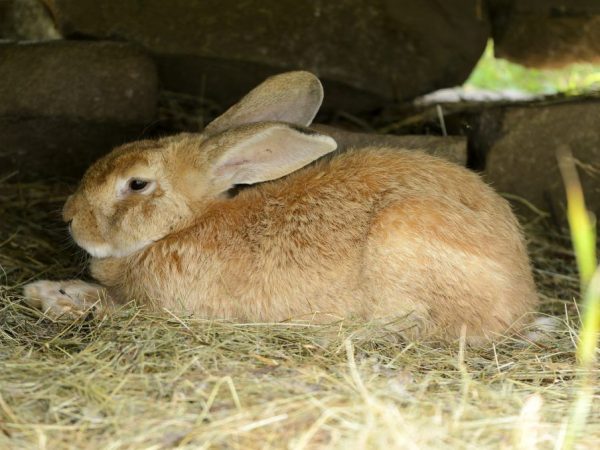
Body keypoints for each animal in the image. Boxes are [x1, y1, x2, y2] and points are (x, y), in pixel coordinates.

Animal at [24, 70, 540, 342]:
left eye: (136, 184)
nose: (69, 216)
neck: (183, 226)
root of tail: (525, 298)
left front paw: (56, 298)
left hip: (406, 234)